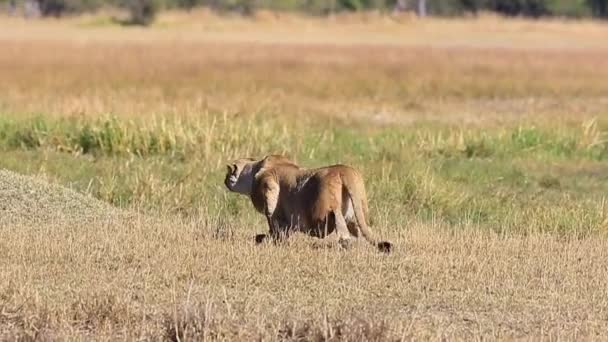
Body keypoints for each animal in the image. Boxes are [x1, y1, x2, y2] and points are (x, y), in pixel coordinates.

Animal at [226, 154, 392, 252]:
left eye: (228, 174)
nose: (224, 181)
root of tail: (345, 171)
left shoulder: (269, 185)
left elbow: (272, 217)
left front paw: (265, 239)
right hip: (356, 212)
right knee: (362, 230)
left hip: (322, 212)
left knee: (337, 223)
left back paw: (345, 242)